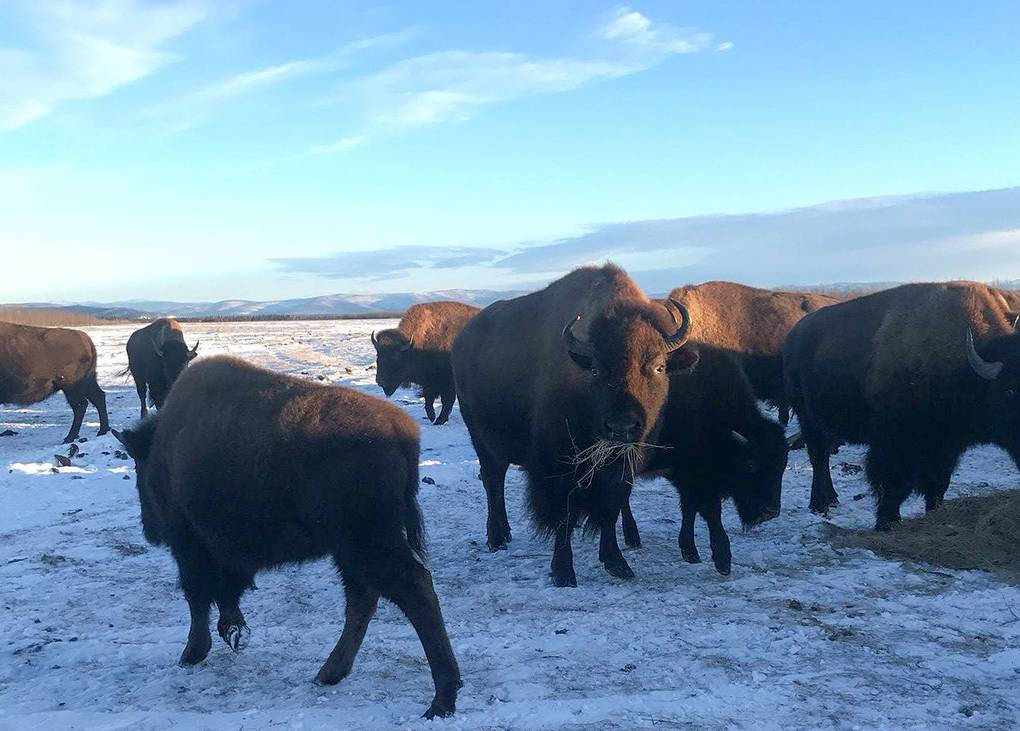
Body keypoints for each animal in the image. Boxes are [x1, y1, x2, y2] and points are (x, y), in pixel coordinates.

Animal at [113, 356, 461, 717]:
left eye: (139, 471)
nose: (150, 531)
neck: (164, 445)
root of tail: (401, 431)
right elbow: (223, 593)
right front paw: (232, 633)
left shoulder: (190, 544)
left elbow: (198, 595)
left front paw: (194, 652)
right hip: (349, 551)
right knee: (363, 601)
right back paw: (329, 674)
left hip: (367, 545)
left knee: (412, 593)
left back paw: (441, 700)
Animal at [452, 265, 697, 583]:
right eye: (595, 369)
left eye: (659, 367)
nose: (621, 427)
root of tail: (461, 341)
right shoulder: (560, 464)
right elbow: (565, 514)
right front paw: (563, 572)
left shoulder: (621, 468)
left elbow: (610, 509)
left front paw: (617, 563)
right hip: (481, 439)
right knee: (493, 481)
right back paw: (496, 539)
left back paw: (504, 534)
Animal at [620, 344, 787, 575]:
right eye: (751, 463)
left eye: (782, 466)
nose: (770, 512)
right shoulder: (697, 478)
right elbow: (711, 512)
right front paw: (723, 561)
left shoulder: (687, 479)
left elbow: (689, 509)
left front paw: (690, 552)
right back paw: (632, 537)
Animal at [783, 277, 1020, 526]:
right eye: (1010, 390)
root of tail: (793, 337)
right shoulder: (894, 443)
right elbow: (892, 484)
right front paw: (887, 521)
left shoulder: (944, 446)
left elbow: (937, 484)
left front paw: (933, 511)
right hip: (807, 418)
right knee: (818, 457)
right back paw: (820, 504)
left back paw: (832, 499)